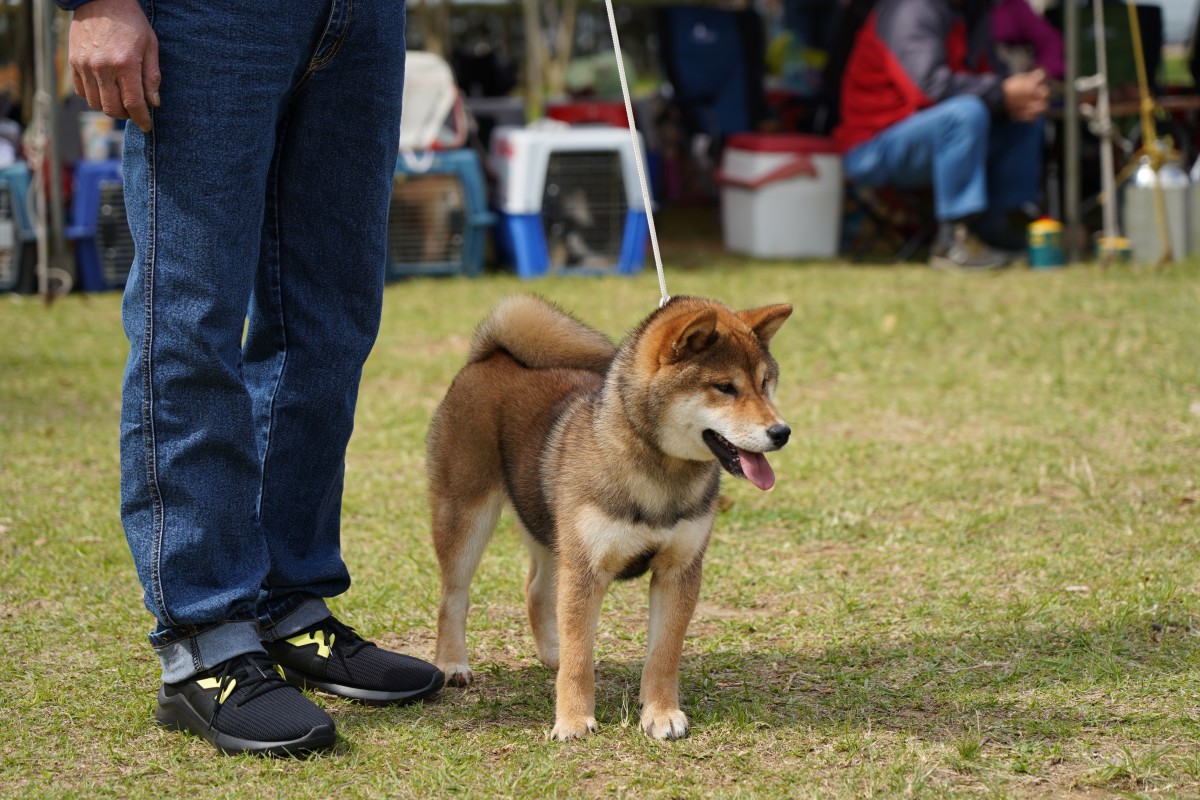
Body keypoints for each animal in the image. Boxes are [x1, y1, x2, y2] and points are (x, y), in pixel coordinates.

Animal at [427, 296, 792, 743]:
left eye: (765, 383)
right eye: (725, 387)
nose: (782, 432)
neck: (659, 473)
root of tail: (491, 354)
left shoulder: (678, 570)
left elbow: (664, 654)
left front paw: (661, 713)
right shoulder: (586, 568)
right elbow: (580, 657)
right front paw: (572, 720)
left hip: (550, 530)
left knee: (536, 590)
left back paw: (552, 652)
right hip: (467, 516)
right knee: (454, 596)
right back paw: (452, 664)